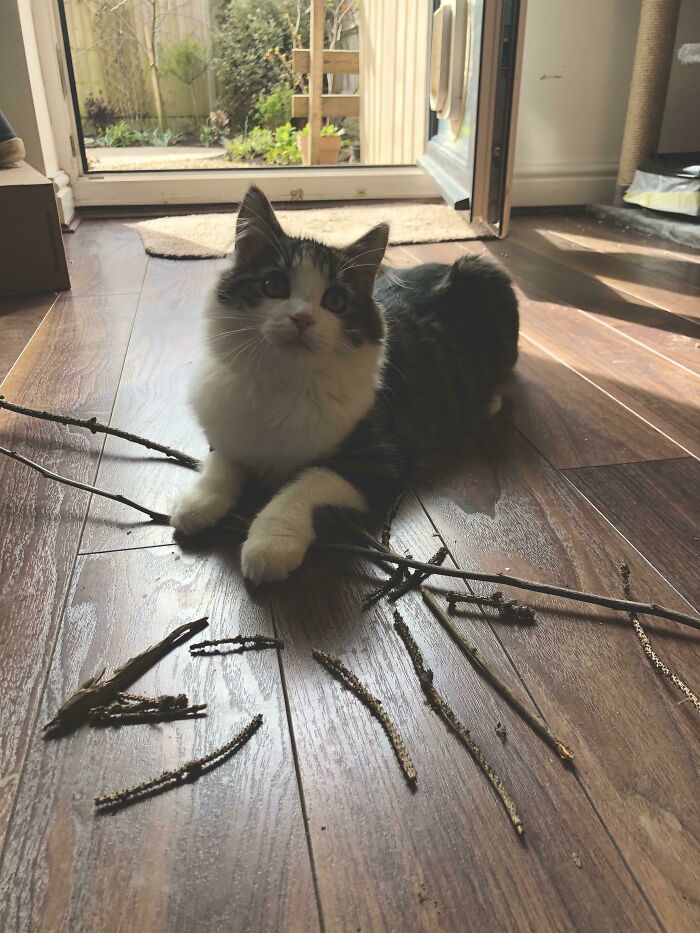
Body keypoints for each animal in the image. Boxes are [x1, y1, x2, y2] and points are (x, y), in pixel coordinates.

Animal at [172, 184, 516, 584]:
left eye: (335, 300)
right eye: (274, 285)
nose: (302, 318)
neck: (283, 378)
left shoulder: (377, 459)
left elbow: (303, 485)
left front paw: (269, 543)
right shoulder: (228, 428)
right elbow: (222, 463)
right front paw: (198, 502)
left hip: (485, 273)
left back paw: (488, 403)